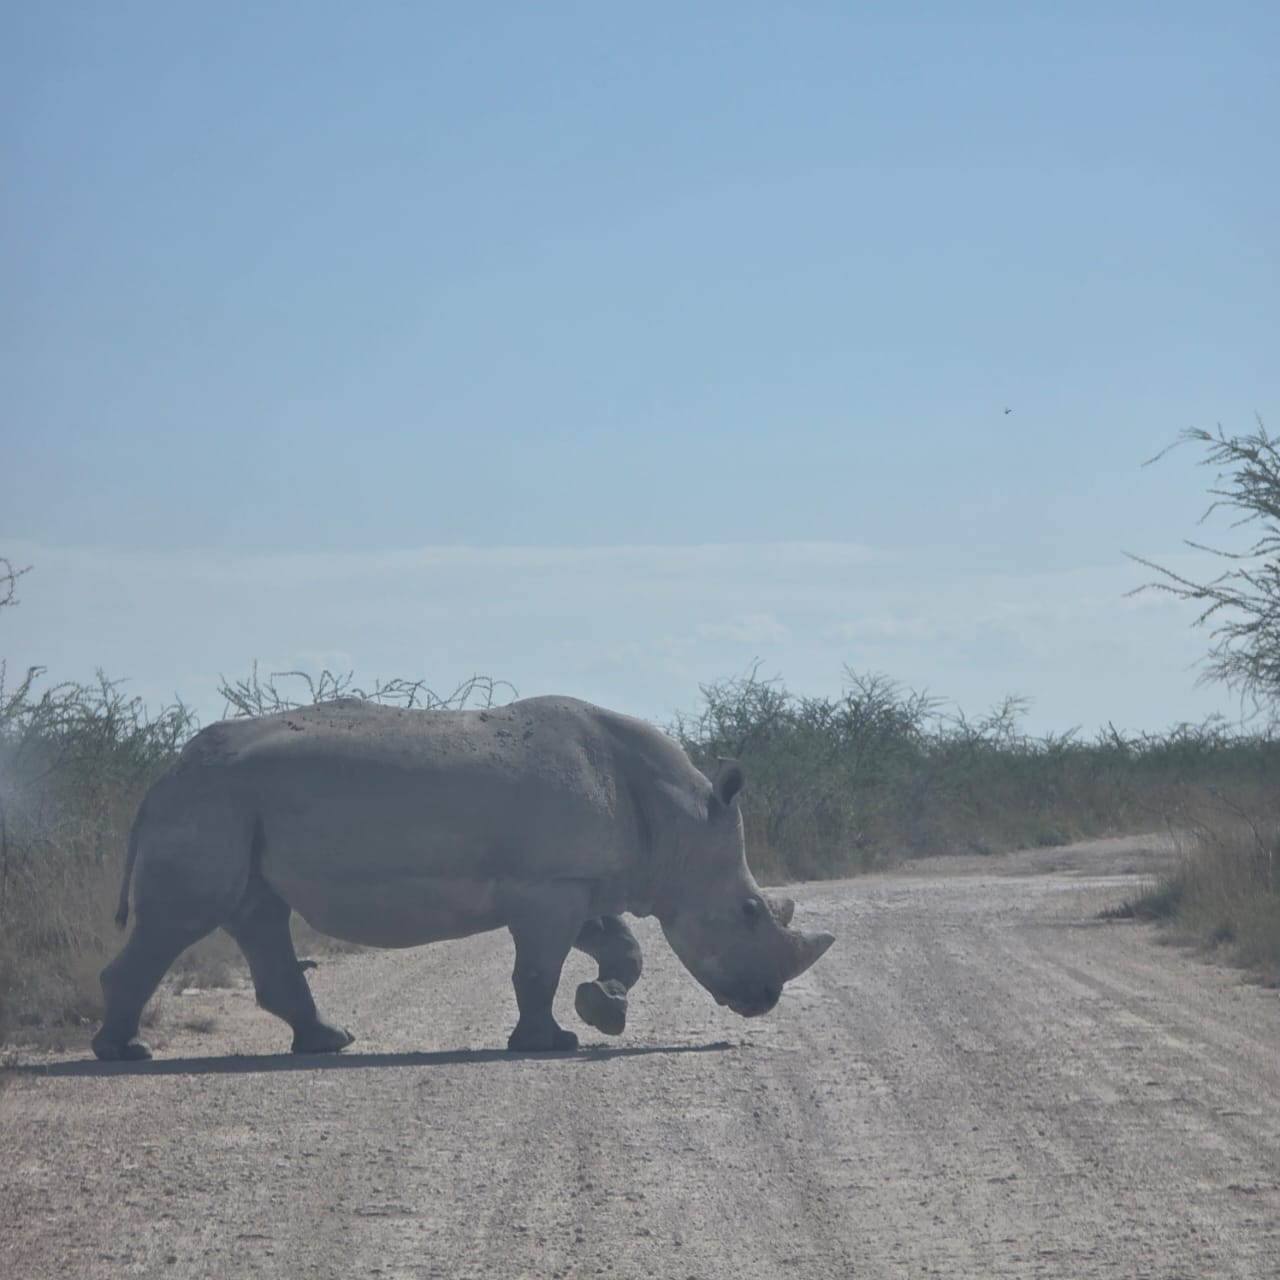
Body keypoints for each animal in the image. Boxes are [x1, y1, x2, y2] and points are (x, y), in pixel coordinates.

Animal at [91, 696, 834, 1061]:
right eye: (748, 912)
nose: (764, 1000)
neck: (678, 820)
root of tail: (163, 778)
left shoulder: (573, 879)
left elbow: (621, 947)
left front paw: (604, 1009)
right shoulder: (550, 885)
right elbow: (536, 970)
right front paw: (549, 1044)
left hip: (231, 804)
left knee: (257, 911)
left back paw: (329, 1043)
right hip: (211, 803)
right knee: (183, 919)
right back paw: (127, 1053)